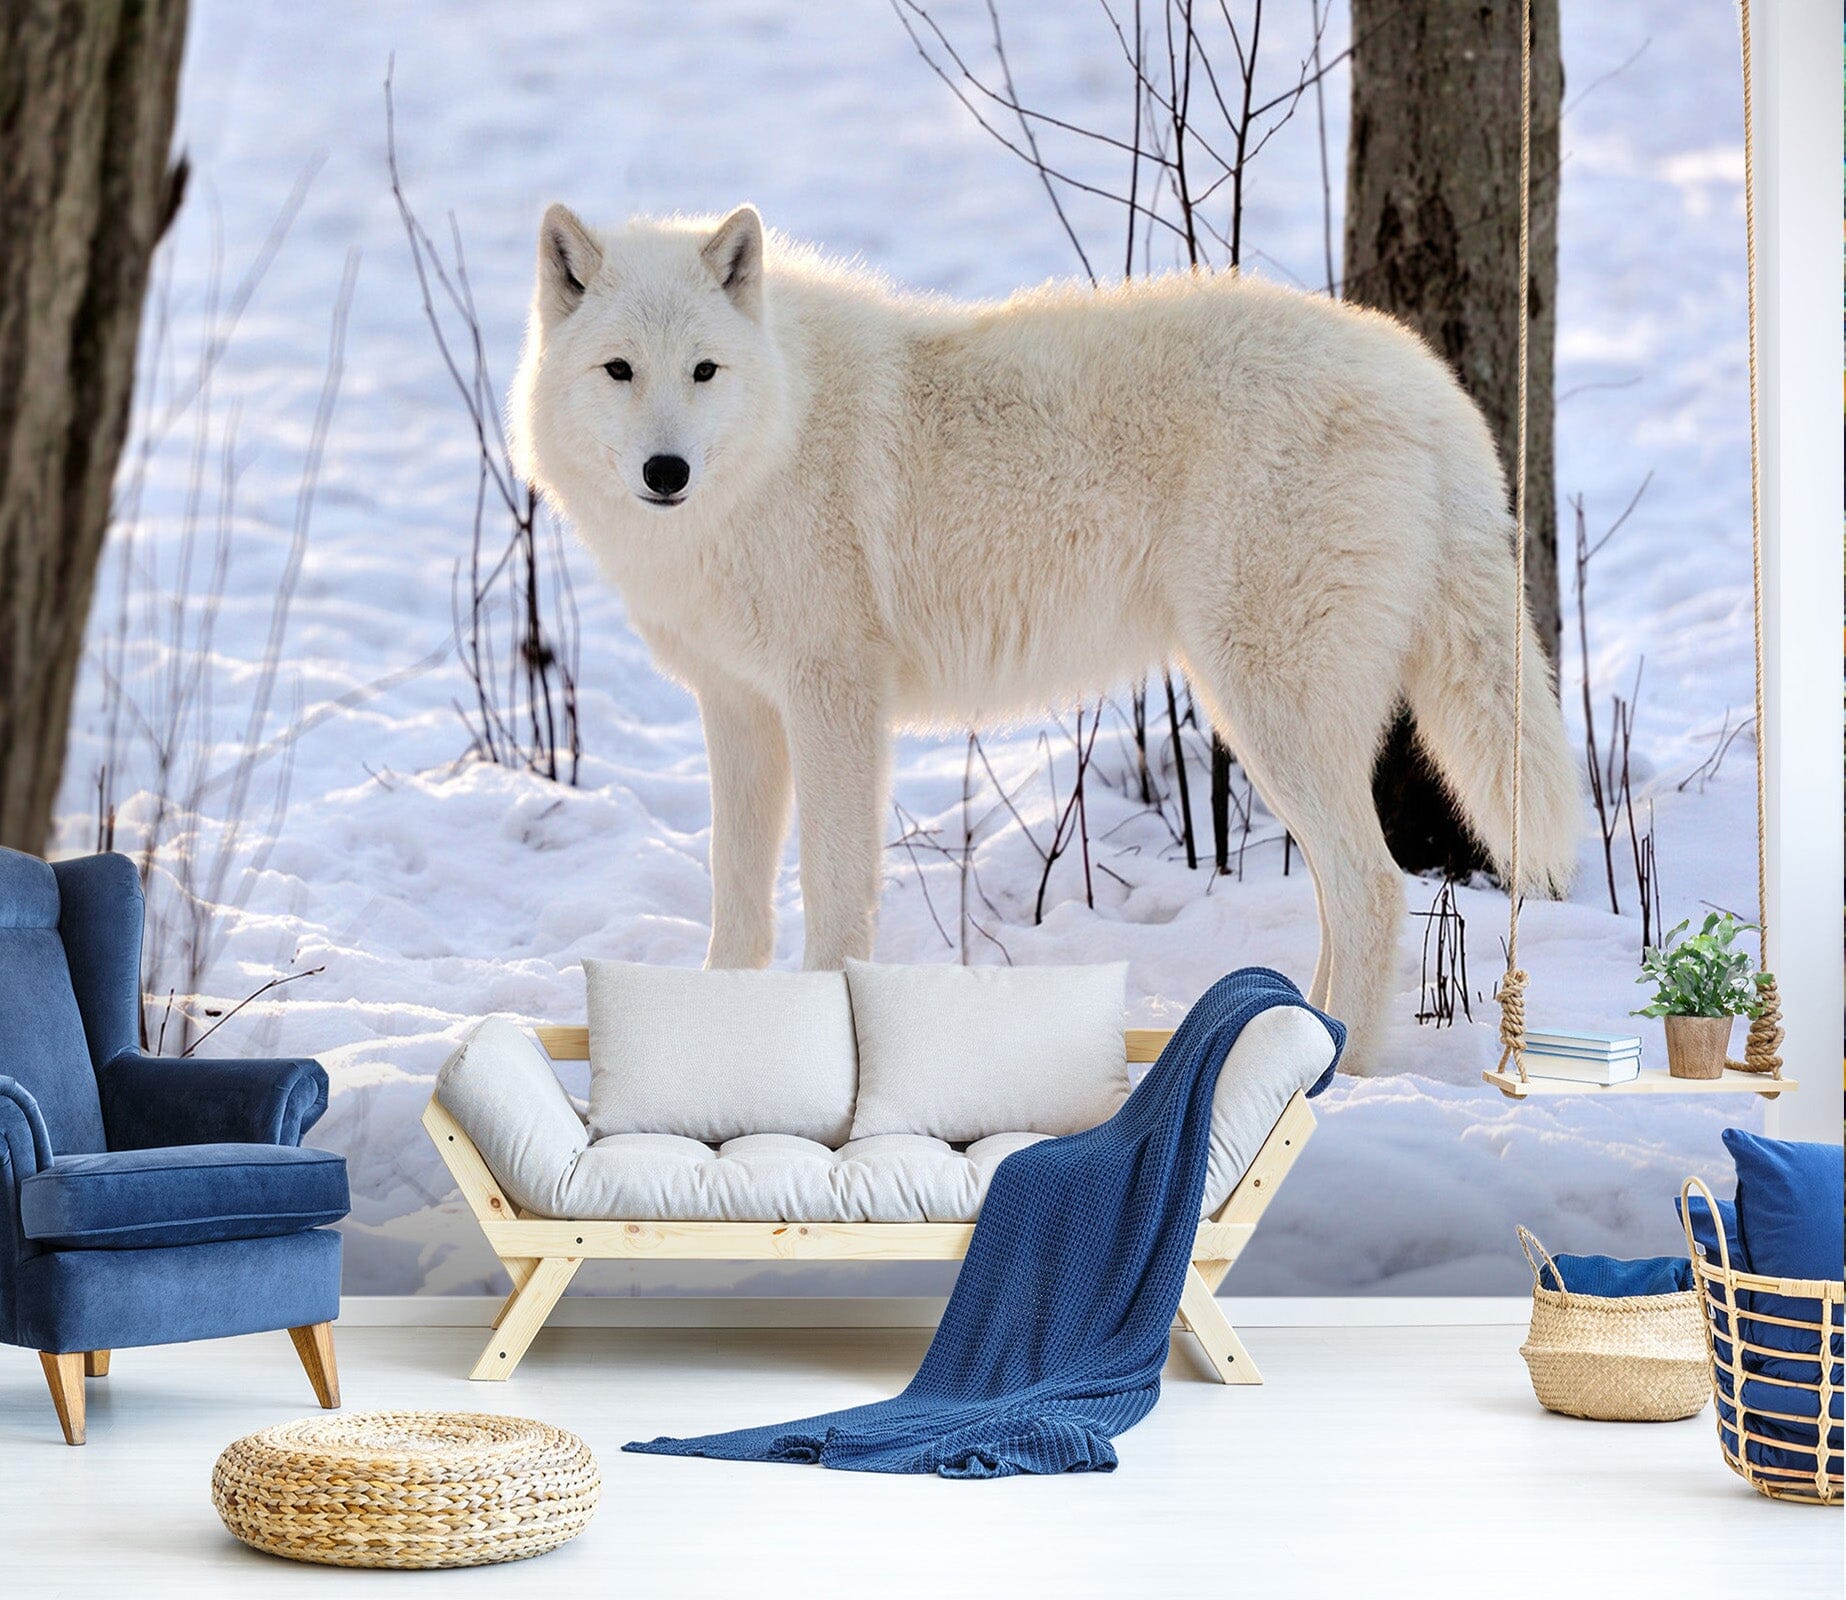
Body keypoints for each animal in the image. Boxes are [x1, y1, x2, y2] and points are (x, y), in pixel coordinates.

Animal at [511, 203, 1579, 1073]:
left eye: (703, 370)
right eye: (619, 370)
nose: (666, 471)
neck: (778, 434)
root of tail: (1428, 385)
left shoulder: (835, 698)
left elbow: (835, 893)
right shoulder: (738, 708)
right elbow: (737, 901)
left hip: (1264, 709)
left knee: (1374, 888)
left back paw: (1337, 1072)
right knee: (1352, 894)